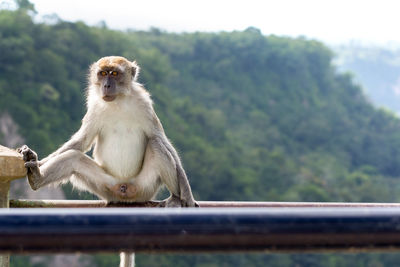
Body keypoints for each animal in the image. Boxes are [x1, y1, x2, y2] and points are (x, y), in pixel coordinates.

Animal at [18, 55, 198, 208]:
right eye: (103, 73)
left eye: (115, 73)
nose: (106, 85)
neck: (118, 101)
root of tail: (124, 188)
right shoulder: (94, 107)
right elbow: (81, 142)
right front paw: (38, 161)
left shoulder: (145, 105)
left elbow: (161, 140)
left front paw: (187, 194)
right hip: (106, 186)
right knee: (73, 158)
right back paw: (37, 178)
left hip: (144, 188)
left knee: (157, 145)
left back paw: (175, 197)